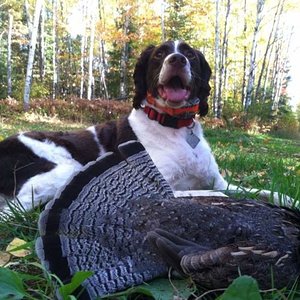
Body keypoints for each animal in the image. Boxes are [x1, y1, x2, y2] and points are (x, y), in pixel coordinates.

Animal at [0, 41, 292, 212]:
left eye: (189, 54)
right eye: (160, 54)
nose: (177, 60)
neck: (175, 128)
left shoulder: (218, 180)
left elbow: (258, 190)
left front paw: (289, 199)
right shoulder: (159, 188)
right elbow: (216, 195)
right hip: (65, 170)